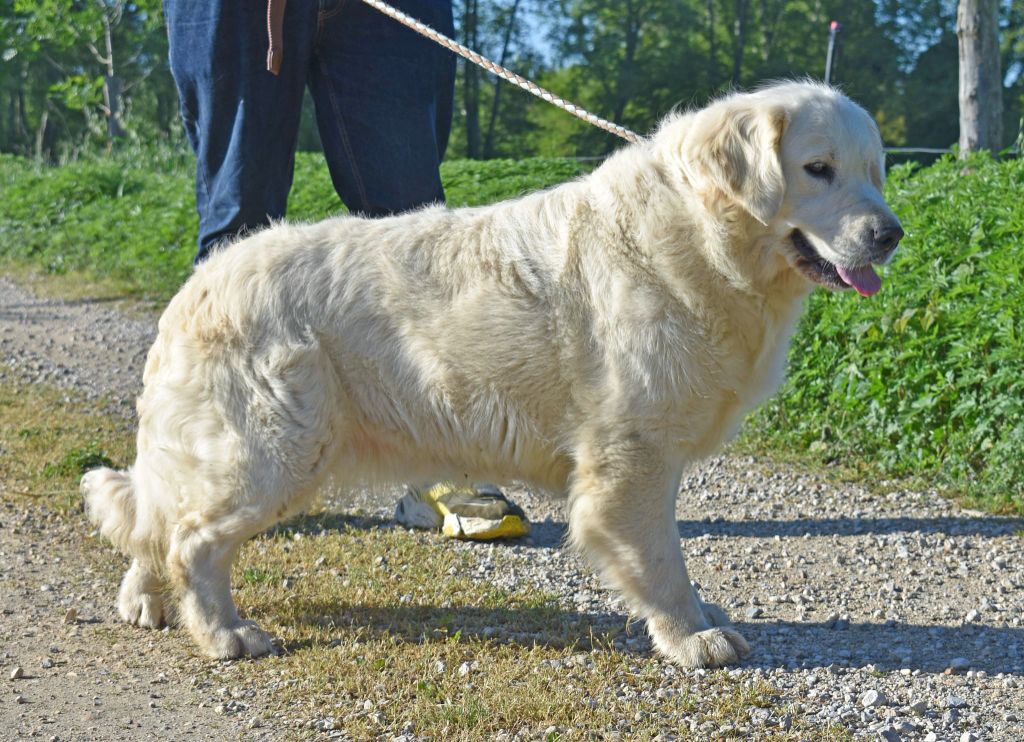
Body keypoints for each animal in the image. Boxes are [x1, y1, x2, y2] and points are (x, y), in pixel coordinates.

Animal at [82, 80, 902, 668]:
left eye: (875, 172)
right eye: (818, 169)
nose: (890, 233)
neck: (703, 242)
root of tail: (199, 282)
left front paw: (698, 619)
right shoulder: (632, 457)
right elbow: (660, 559)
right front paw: (689, 636)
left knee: (158, 522)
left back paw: (147, 602)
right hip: (274, 454)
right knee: (193, 541)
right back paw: (223, 634)